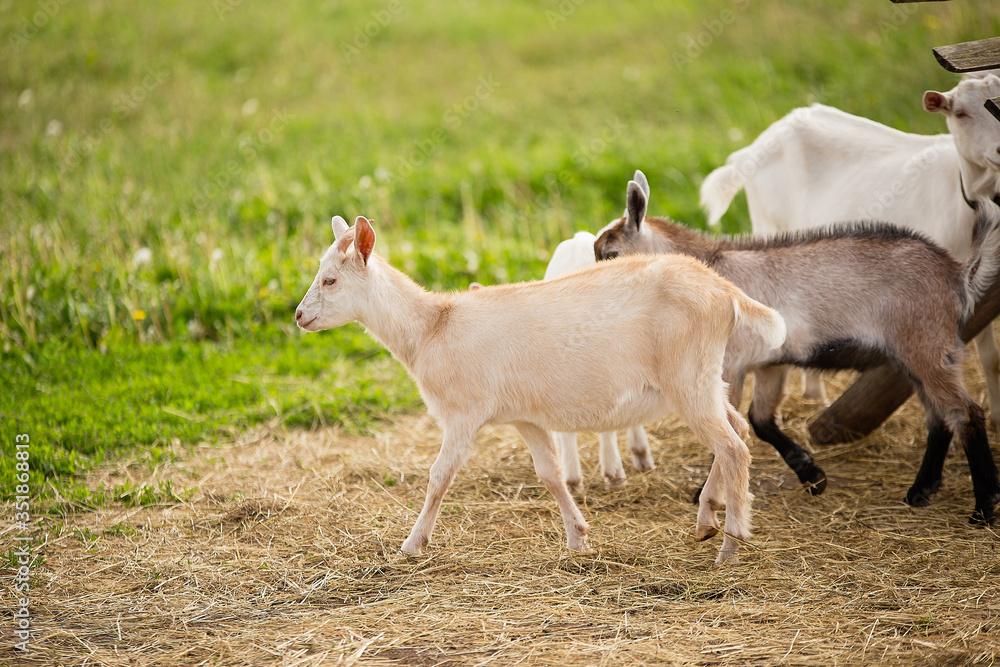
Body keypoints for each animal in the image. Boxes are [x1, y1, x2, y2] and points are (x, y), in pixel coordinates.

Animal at [592, 170, 1000, 524]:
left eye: (610, 255)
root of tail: (957, 272)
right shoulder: (768, 364)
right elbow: (760, 419)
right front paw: (811, 474)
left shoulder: (728, 365)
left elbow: (730, 426)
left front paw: (708, 493)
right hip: (913, 357)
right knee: (939, 417)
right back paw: (921, 490)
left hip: (927, 347)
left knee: (965, 413)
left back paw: (983, 507)